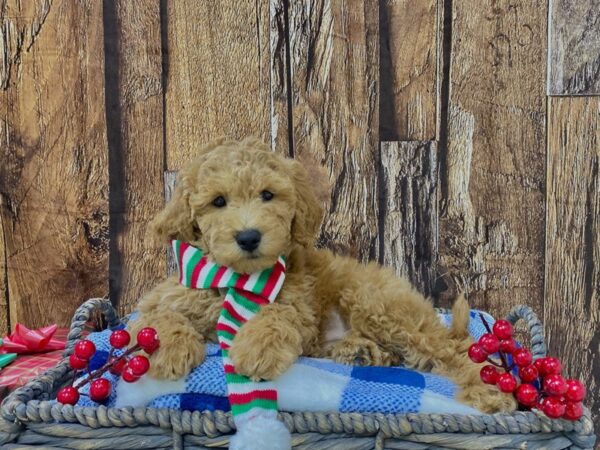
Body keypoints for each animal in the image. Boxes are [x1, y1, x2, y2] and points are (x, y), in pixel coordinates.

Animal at [130, 138, 516, 414]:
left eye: (268, 195)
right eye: (218, 202)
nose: (249, 236)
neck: (234, 279)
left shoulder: (298, 304)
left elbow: (277, 314)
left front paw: (255, 347)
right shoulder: (164, 297)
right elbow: (155, 318)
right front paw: (171, 350)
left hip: (374, 302)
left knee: (450, 351)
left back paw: (488, 389)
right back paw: (361, 352)